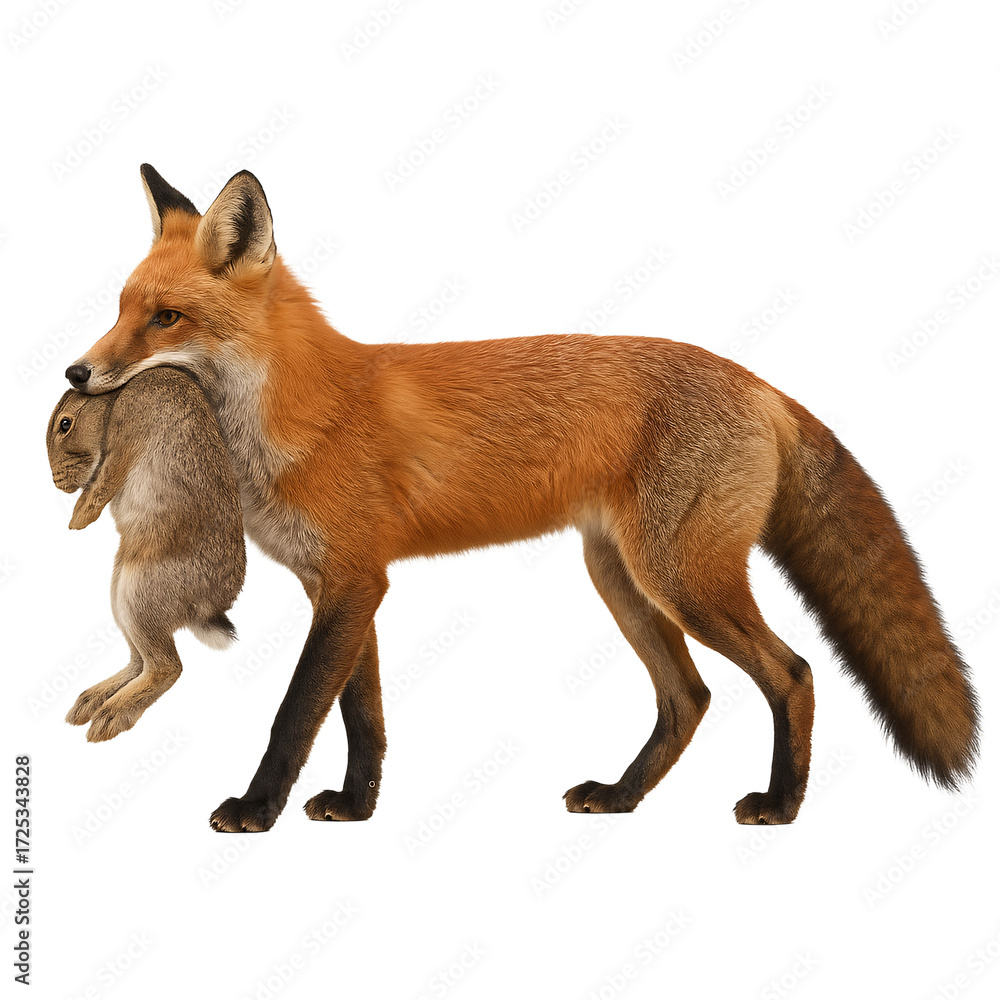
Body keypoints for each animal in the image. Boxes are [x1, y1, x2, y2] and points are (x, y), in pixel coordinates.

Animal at [63, 164, 979, 832]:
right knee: (689, 698)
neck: (297, 414)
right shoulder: (346, 586)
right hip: (622, 580)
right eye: (119, 308)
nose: (76, 371)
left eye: (165, 318)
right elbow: (363, 717)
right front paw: (357, 807)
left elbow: (296, 713)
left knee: (792, 674)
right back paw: (620, 797)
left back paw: (781, 805)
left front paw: (256, 810)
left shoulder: (354, 582)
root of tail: (759, 382)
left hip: (681, 581)